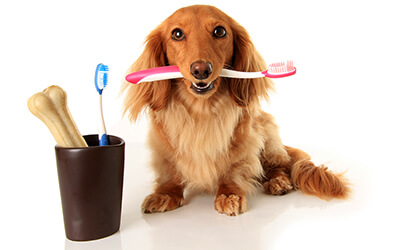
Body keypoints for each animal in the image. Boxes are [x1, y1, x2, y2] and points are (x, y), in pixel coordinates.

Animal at [121, 5, 350, 217]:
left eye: (219, 31)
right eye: (177, 34)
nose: (201, 70)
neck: (201, 110)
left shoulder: (243, 141)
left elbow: (232, 169)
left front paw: (229, 194)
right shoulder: (164, 146)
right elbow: (171, 173)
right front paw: (165, 194)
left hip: (267, 137)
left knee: (280, 165)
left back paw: (278, 182)